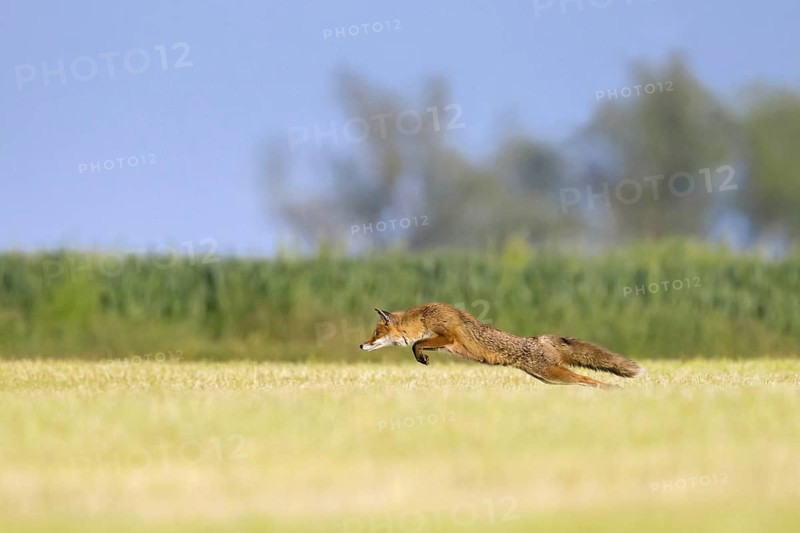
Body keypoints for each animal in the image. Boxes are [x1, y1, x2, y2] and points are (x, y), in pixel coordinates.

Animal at [360, 302, 645, 389]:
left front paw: (420, 356)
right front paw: (422, 357)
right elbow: (420, 344)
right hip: (549, 378)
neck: (422, 317)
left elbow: (416, 344)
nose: (361, 345)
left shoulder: (448, 336)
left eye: (375, 333)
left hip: (553, 374)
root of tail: (542, 339)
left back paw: (614, 390)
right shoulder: (443, 344)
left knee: (589, 379)